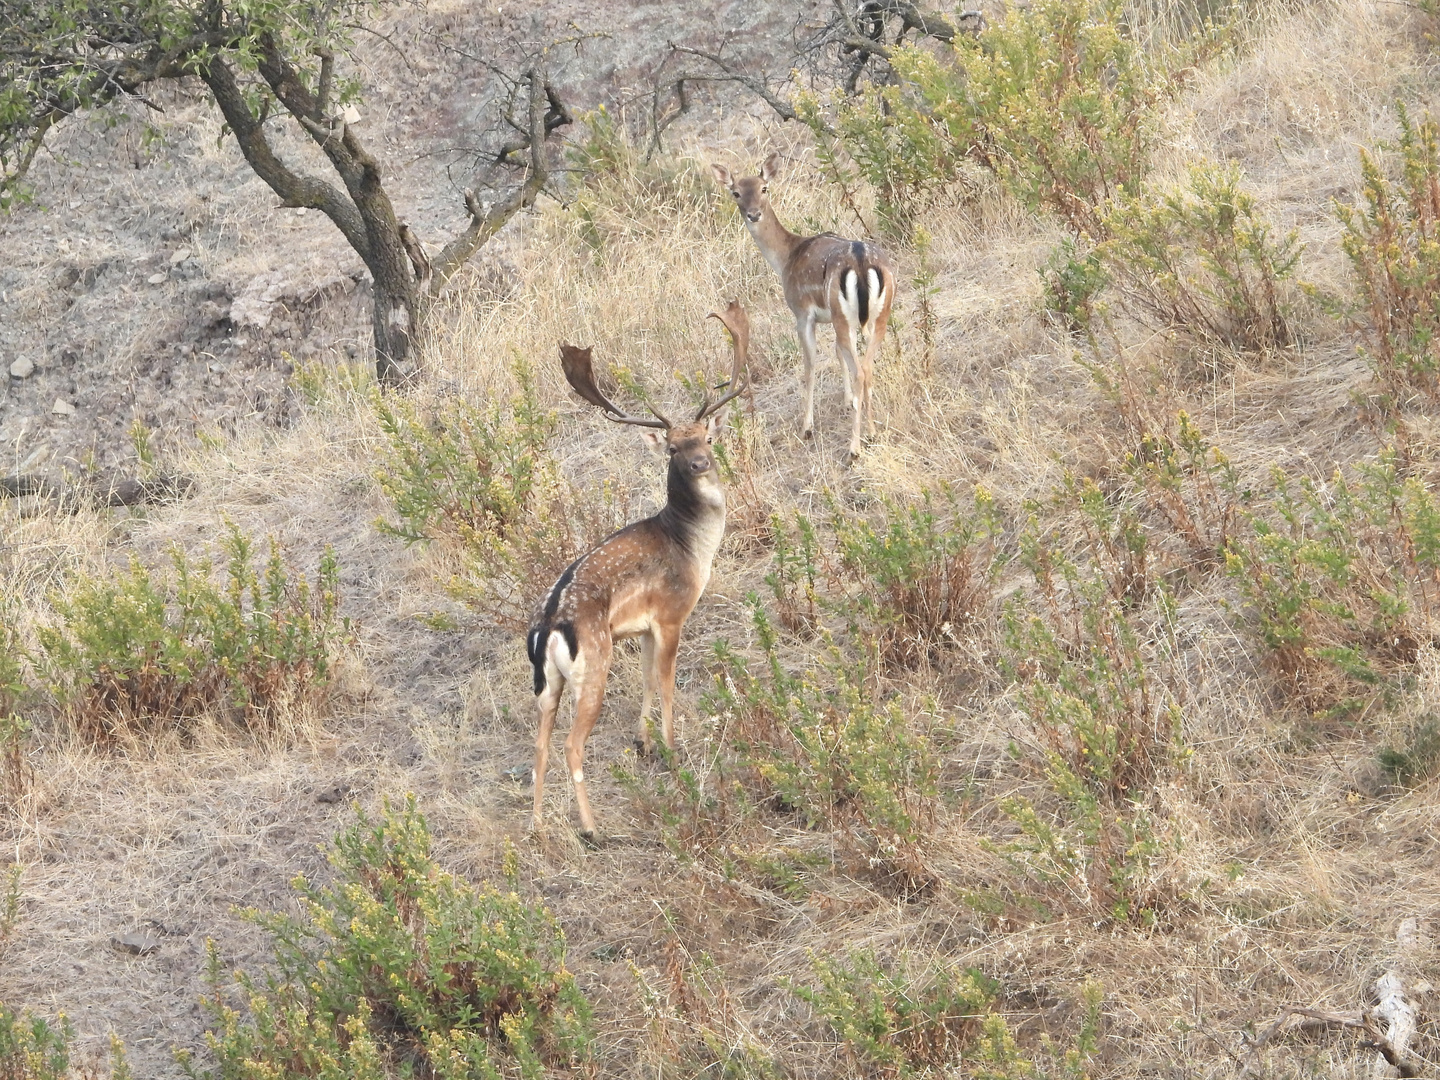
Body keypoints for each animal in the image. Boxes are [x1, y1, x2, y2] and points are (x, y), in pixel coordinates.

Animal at [529, 300, 754, 840]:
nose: (699, 463)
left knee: (540, 743)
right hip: (595, 662)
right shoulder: (672, 613)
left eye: (705, 436)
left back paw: (539, 826)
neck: (691, 546)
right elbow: (668, 682)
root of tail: (549, 626)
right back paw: (592, 830)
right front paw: (672, 750)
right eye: (672, 447)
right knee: (571, 744)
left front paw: (643, 742)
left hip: (548, 681)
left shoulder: (643, 626)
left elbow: (650, 680)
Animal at [714, 152, 892, 460]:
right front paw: (847, 401)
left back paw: (854, 447)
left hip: (847, 316)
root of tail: (861, 261)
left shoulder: (802, 313)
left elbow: (809, 366)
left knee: (860, 370)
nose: (753, 214)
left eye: (764, 188)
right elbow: (837, 354)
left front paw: (806, 427)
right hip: (877, 314)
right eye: (736, 192)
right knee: (868, 367)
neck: (786, 257)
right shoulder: (830, 317)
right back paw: (870, 431)